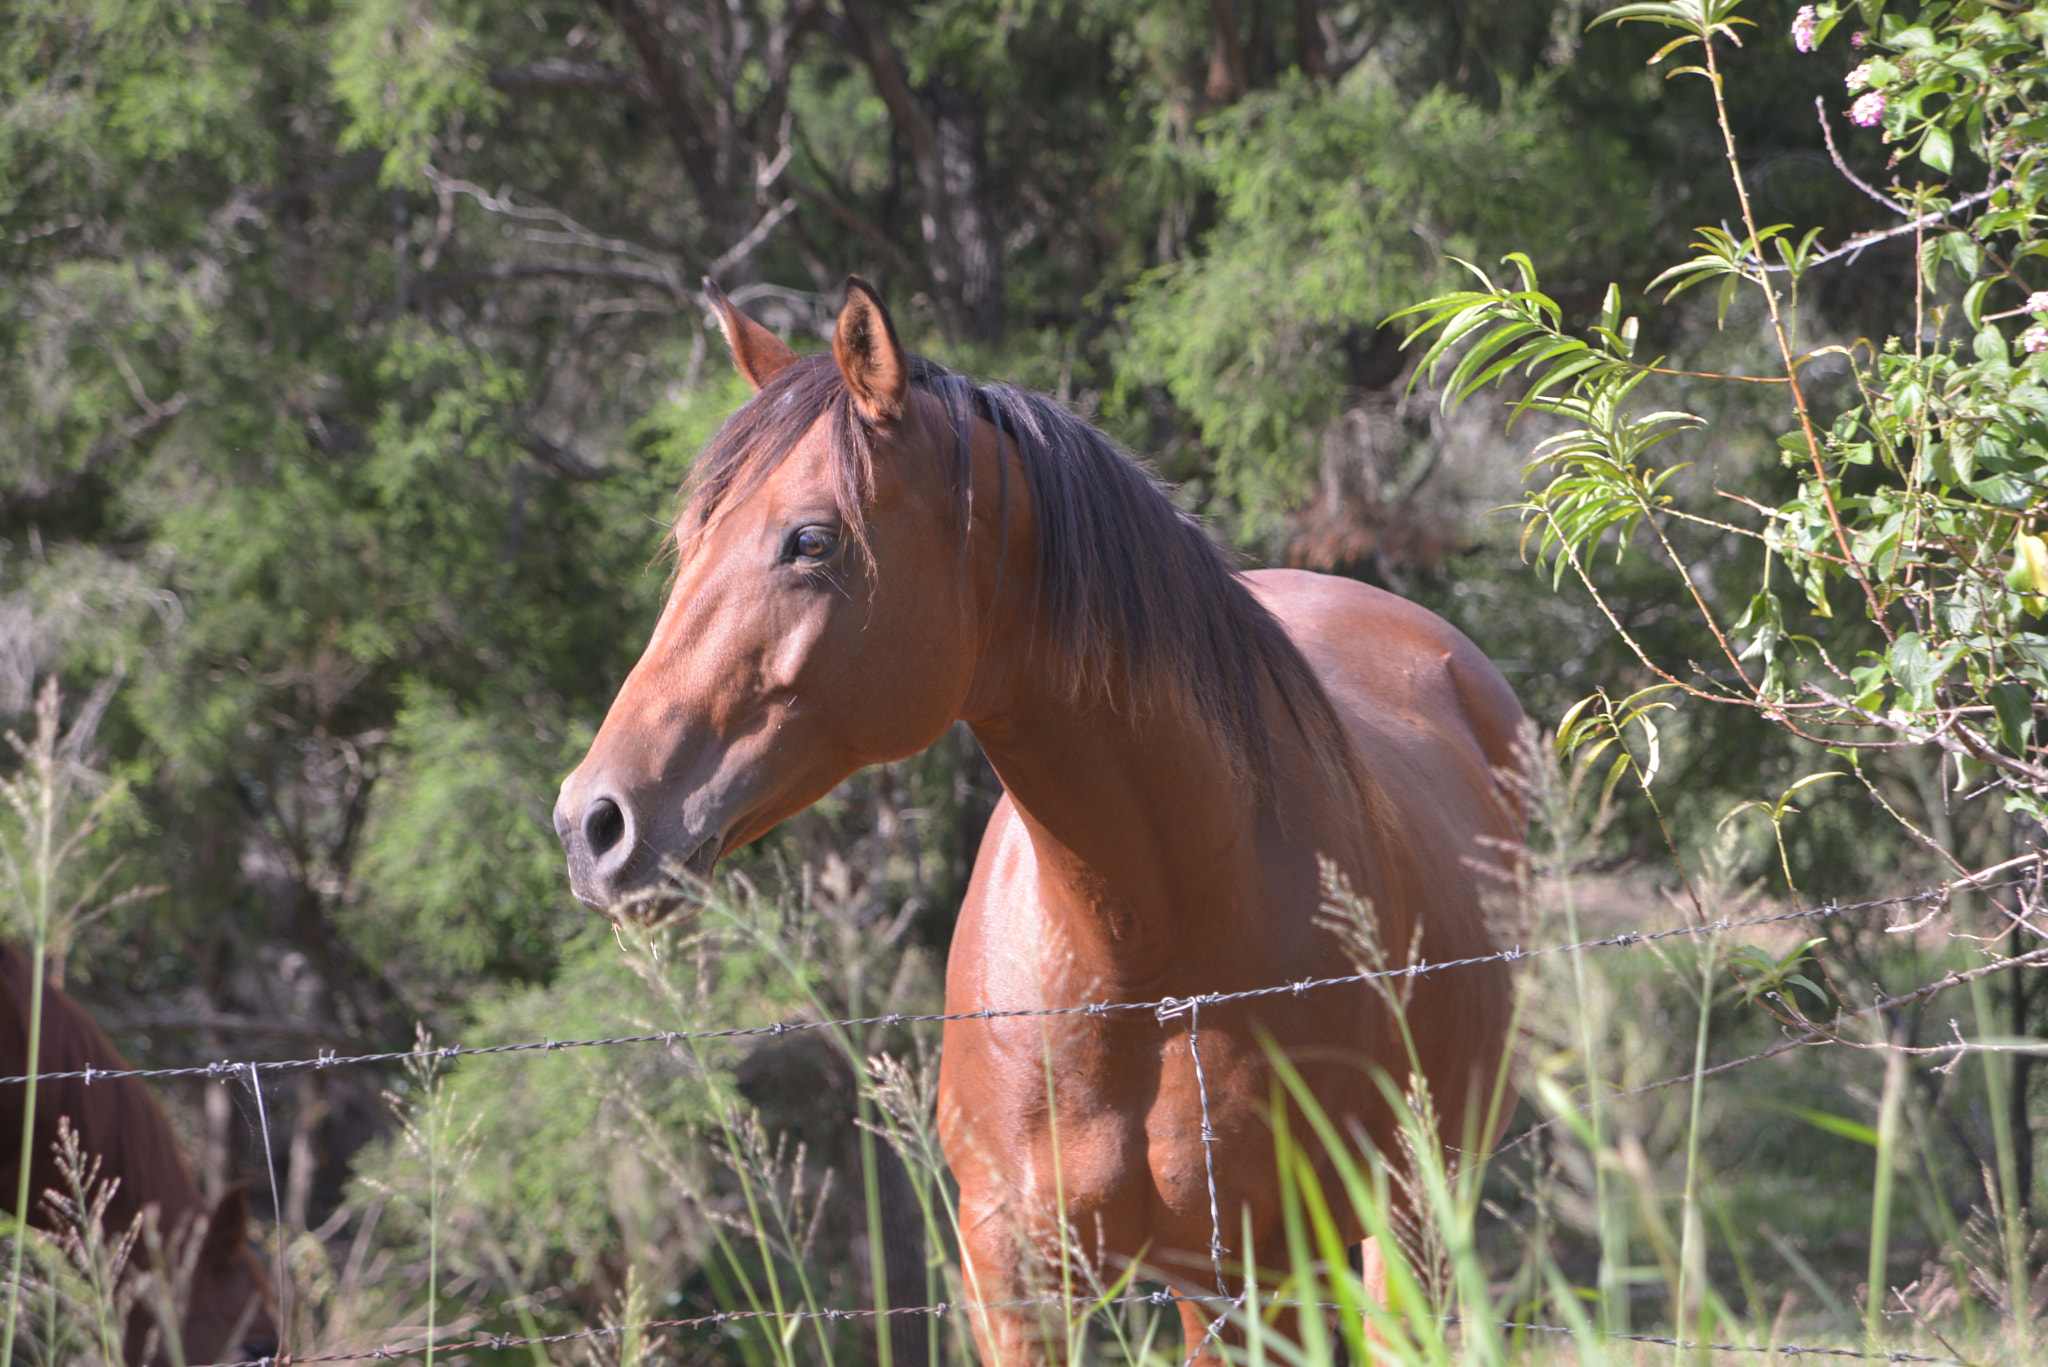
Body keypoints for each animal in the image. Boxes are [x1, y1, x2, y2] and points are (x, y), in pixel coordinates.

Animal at [557, 280, 1523, 1367]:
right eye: (688, 543)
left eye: (809, 539)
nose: (593, 823)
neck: (1139, 956)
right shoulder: (1012, 1279)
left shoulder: (1258, 1263)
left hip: (1403, 1221)